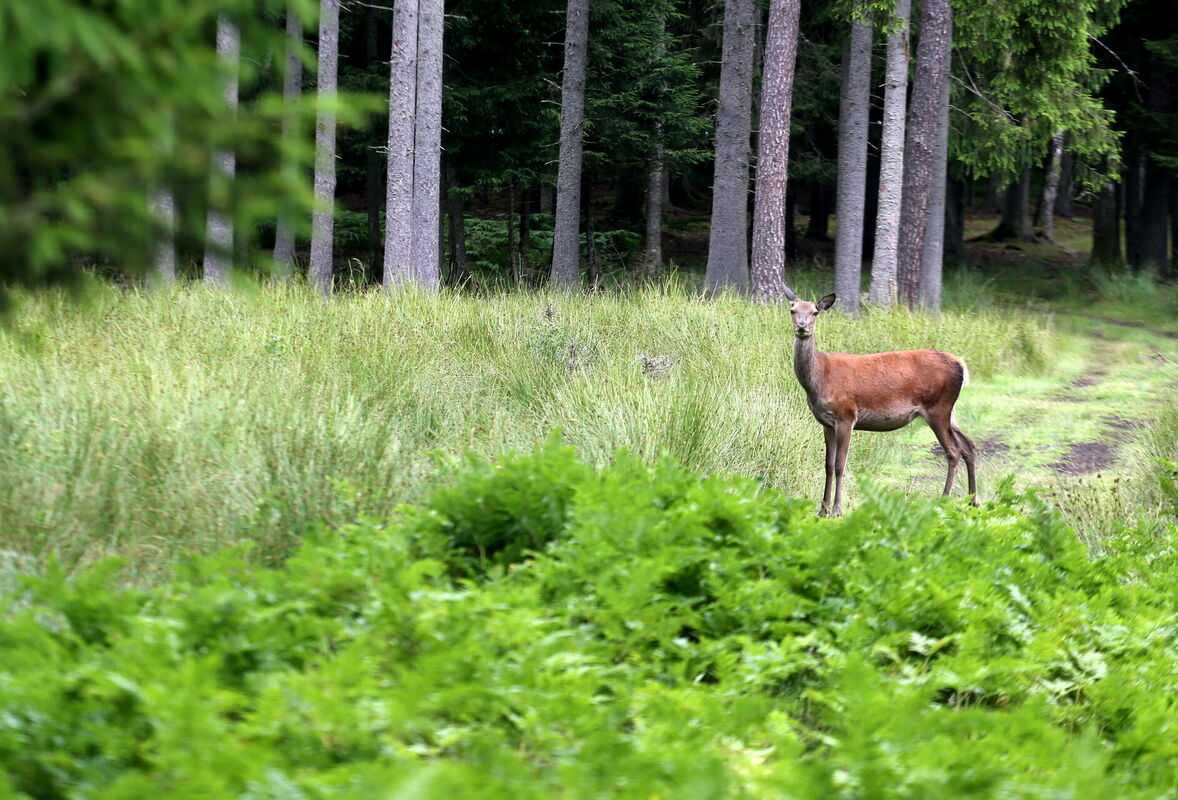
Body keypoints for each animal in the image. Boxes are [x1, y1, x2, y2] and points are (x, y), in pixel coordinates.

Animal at [786, 287, 980, 518]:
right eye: (792, 310)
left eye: (815, 312)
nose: (802, 327)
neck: (820, 380)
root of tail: (961, 364)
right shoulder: (826, 423)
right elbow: (828, 465)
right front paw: (822, 510)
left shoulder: (846, 416)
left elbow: (841, 465)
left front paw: (837, 509)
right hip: (950, 412)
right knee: (969, 445)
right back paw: (973, 501)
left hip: (938, 408)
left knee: (953, 451)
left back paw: (943, 500)